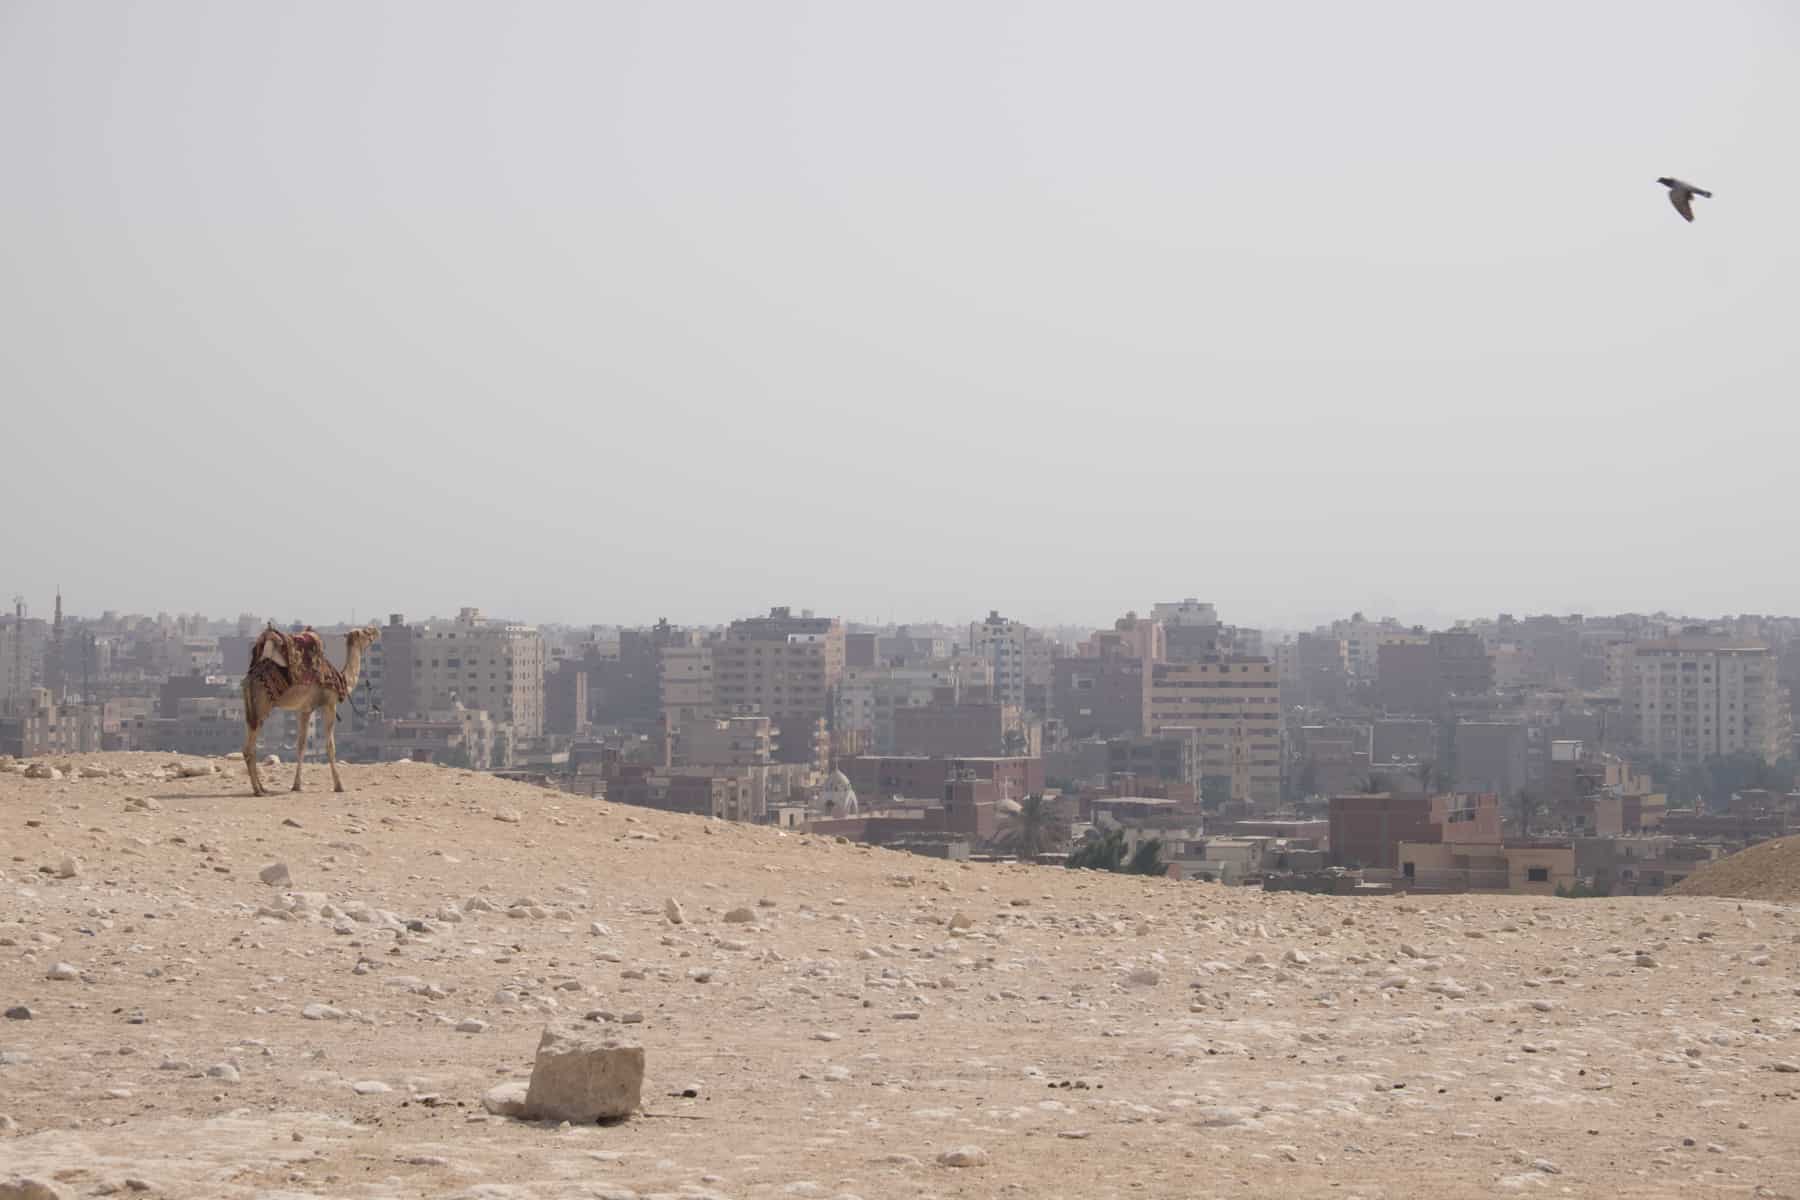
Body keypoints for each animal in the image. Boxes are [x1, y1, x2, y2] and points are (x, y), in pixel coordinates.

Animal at [241, 629, 381, 798]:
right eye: (365, 632)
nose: (376, 631)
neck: (341, 679)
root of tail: (248, 679)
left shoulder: (305, 709)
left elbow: (301, 745)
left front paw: (296, 786)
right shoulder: (329, 704)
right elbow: (330, 746)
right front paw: (339, 786)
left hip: (251, 710)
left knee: (251, 747)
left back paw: (262, 788)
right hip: (262, 706)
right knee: (249, 748)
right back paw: (258, 790)